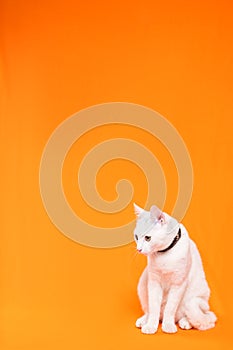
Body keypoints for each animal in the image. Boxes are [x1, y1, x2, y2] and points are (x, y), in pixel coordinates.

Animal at [134, 204, 218, 334]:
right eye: (136, 237)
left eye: (148, 238)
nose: (139, 249)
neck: (164, 254)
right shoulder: (154, 282)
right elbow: (153, 308)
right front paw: (151, 326)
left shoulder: (178, 284)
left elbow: (170, 308)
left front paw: (168, 325)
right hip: (143, 283)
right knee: (151, 311)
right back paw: (144, 320)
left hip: (198, 296)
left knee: (189, 315)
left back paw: (185, 322)